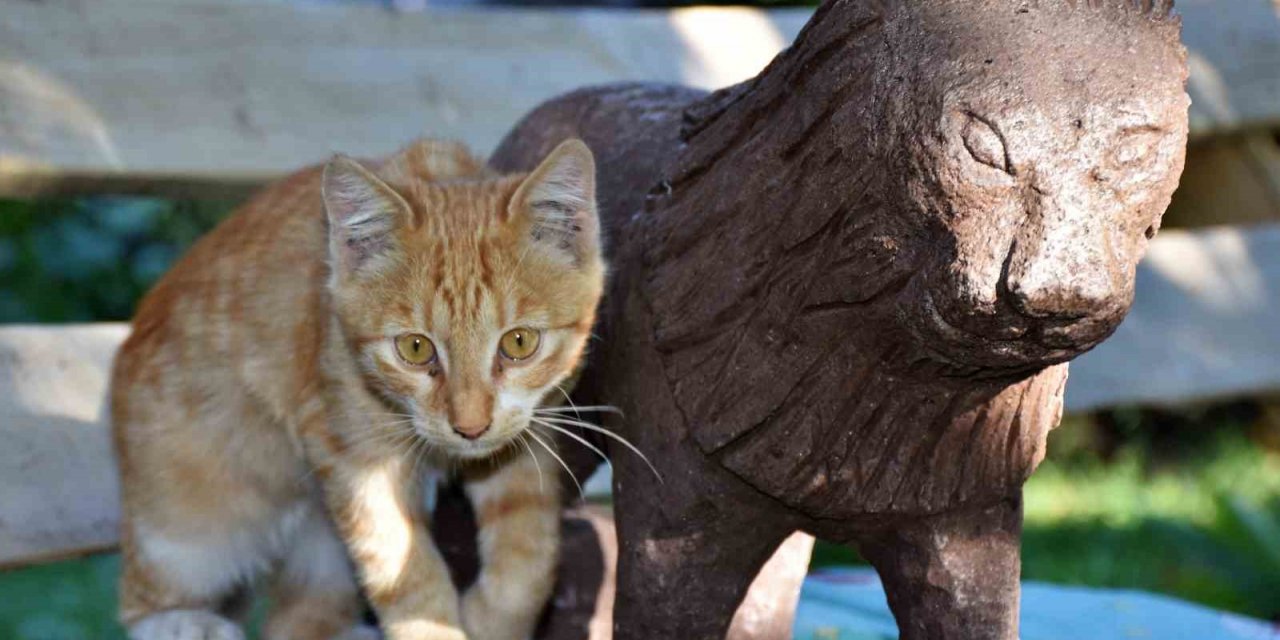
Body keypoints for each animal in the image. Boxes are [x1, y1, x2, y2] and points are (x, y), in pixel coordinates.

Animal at [111, 136, 604, 640]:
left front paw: (493, 620)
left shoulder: (527, 433)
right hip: (193, 524)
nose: (469, 427)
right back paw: (186, 623)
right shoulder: (352, 455)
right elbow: (404, 571)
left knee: (294, 622)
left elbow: (531, 554)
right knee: (142, 597)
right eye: (415, 348)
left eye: (519, 342)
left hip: (320, 554)